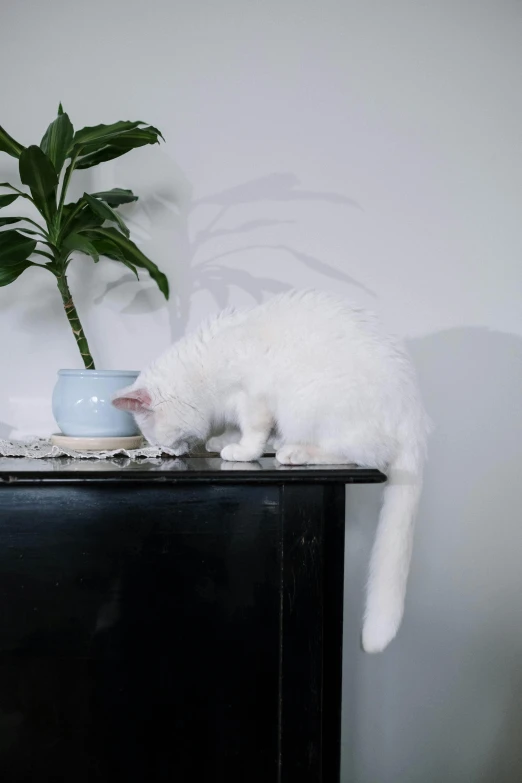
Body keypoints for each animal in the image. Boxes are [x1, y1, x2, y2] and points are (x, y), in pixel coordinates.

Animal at [112, 290, 426, 652]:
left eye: (151, 436)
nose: (165, 451)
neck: (204, 368)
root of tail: (415, 415)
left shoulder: (252, 397)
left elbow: (253, 432)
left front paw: (241, 451)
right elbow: (236, 429)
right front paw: (222, 441)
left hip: (313, 404)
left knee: (355, 456)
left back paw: (295, 452)